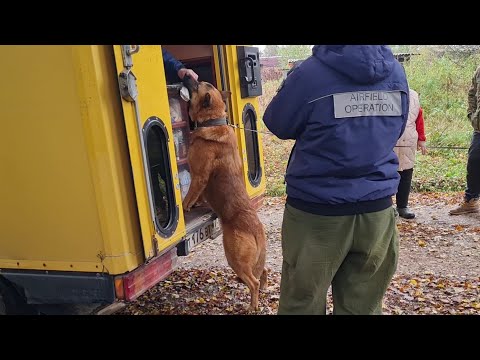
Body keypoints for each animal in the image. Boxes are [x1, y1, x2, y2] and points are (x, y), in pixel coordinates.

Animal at [181, 74, 268, 310]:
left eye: (197, 84)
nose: (187, 75)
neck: (214, 120)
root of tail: (256, 229)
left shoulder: (199, 176)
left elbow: (189, 195)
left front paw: (184, 207)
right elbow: (197, 196)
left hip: (234, 257)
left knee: (254, 282)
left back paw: (252, 305)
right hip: (253, 260)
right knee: (263, 272)